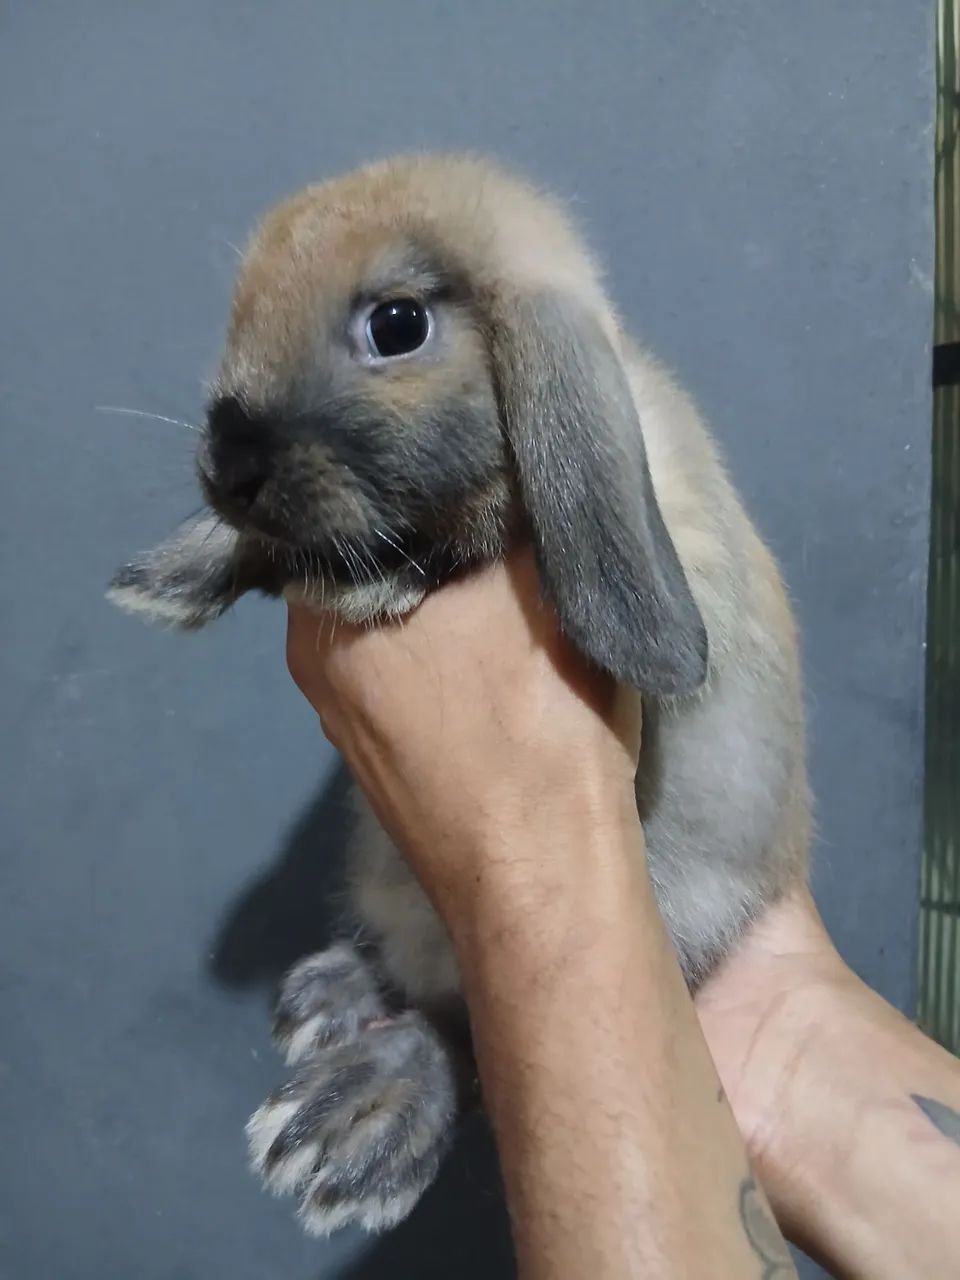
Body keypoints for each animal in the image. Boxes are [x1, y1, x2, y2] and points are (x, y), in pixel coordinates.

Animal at [109, 153, 810, 1237]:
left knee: (465, 1031)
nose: (227, 469)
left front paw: (375, 579)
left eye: (398, 325)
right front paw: (185, 572)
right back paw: (331, 994)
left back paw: (356, 1116)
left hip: (674, 909)